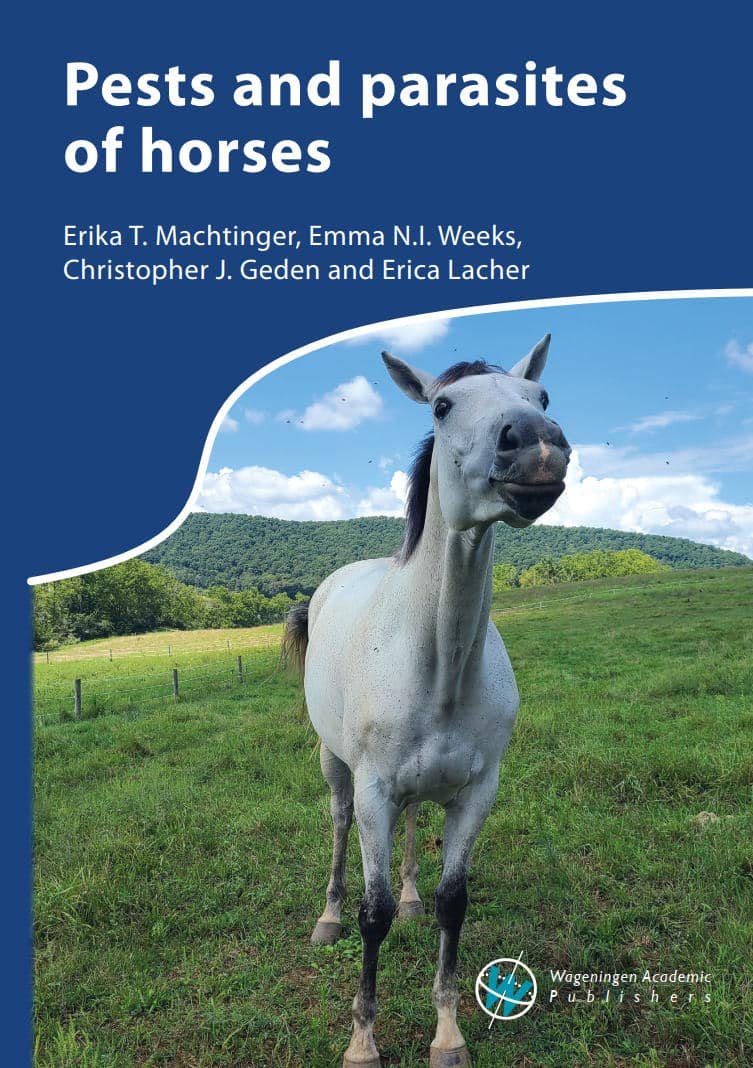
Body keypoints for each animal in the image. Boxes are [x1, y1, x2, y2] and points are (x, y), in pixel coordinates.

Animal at [283, 334, 570, 1067]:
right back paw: (326, 917)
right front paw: (362, 1040)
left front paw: (447, 1033)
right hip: (335, 767)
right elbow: (373, 914)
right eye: (441, 407)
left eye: (540, 397)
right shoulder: (373, 790)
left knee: (415, 827)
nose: (536, 445)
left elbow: (452, 902)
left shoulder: (476, 792)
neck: (437, 665)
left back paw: (410, 896)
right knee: (336, 826)